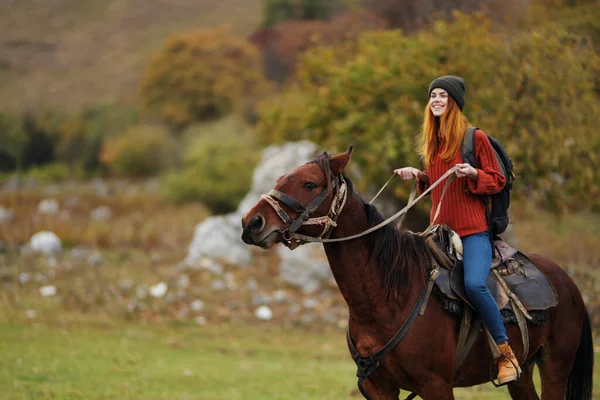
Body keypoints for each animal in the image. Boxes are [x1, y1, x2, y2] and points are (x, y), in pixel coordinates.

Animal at [241, 148, 592, 400]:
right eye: (282, 177)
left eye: (310, 183)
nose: (251, 223)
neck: (389, 297)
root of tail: (568, 284)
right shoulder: (379, 389)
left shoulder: (436, 385)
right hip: (523, 375)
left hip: (555, 368)